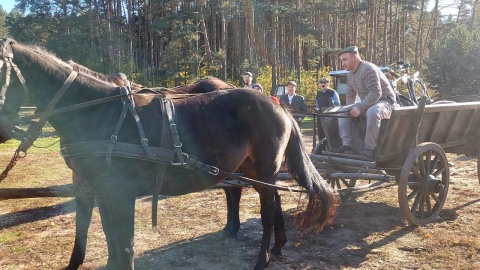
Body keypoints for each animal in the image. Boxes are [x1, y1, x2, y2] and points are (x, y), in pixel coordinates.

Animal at [0, 38, 338, 270]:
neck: (98, 113)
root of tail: (277, 103)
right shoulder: (97, 190)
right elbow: (105, 236)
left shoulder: (119, 194)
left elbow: (125, 244)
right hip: (252, 169)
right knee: (272, 198)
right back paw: (277, 245)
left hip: (265, 167)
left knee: (266, 211)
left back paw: (262, 259)